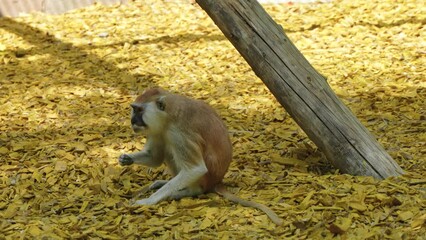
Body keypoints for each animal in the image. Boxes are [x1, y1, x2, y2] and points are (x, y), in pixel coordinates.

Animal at [118, 87, 282, 225]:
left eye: (140, 110)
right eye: (134, 109)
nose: (133, 121)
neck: (169, 113)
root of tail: (217, 181)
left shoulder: (178, 134)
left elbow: (195, 169)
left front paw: (148, 201)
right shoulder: (158, 130)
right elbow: (154, 158)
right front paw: (126, 159)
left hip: (206, 178)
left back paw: (189, 191)